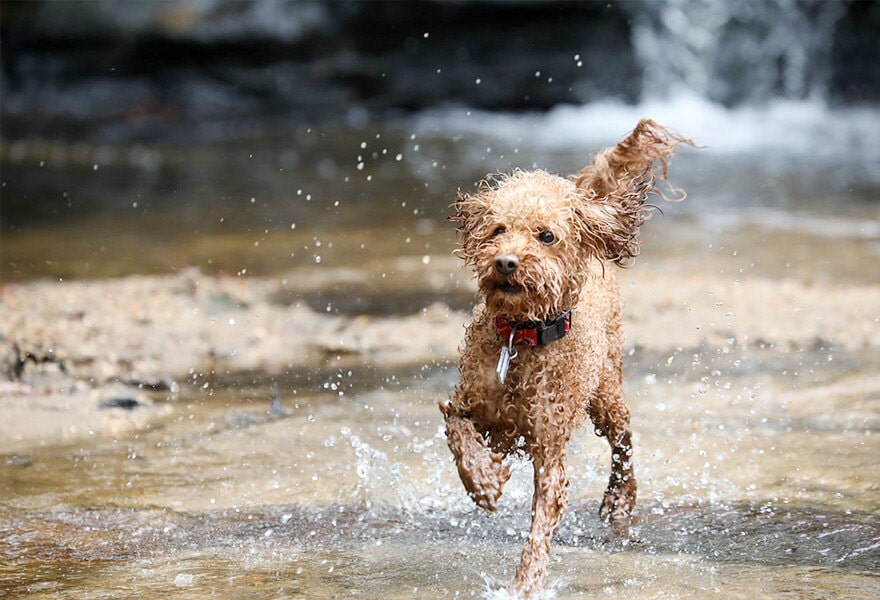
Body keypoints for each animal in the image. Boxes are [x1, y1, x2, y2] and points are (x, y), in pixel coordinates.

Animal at [438, 119, 688, 596]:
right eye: (498, 230)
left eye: (546, 235)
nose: (506, 262)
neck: (522, 338)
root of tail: (581, 197)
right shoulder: (466, 402)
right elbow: (460, 435)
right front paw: (485, 481)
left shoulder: (549, 447)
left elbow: (541, 526)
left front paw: (525, 584)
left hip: (605, 392)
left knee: (624, 439)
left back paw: (620, 499)